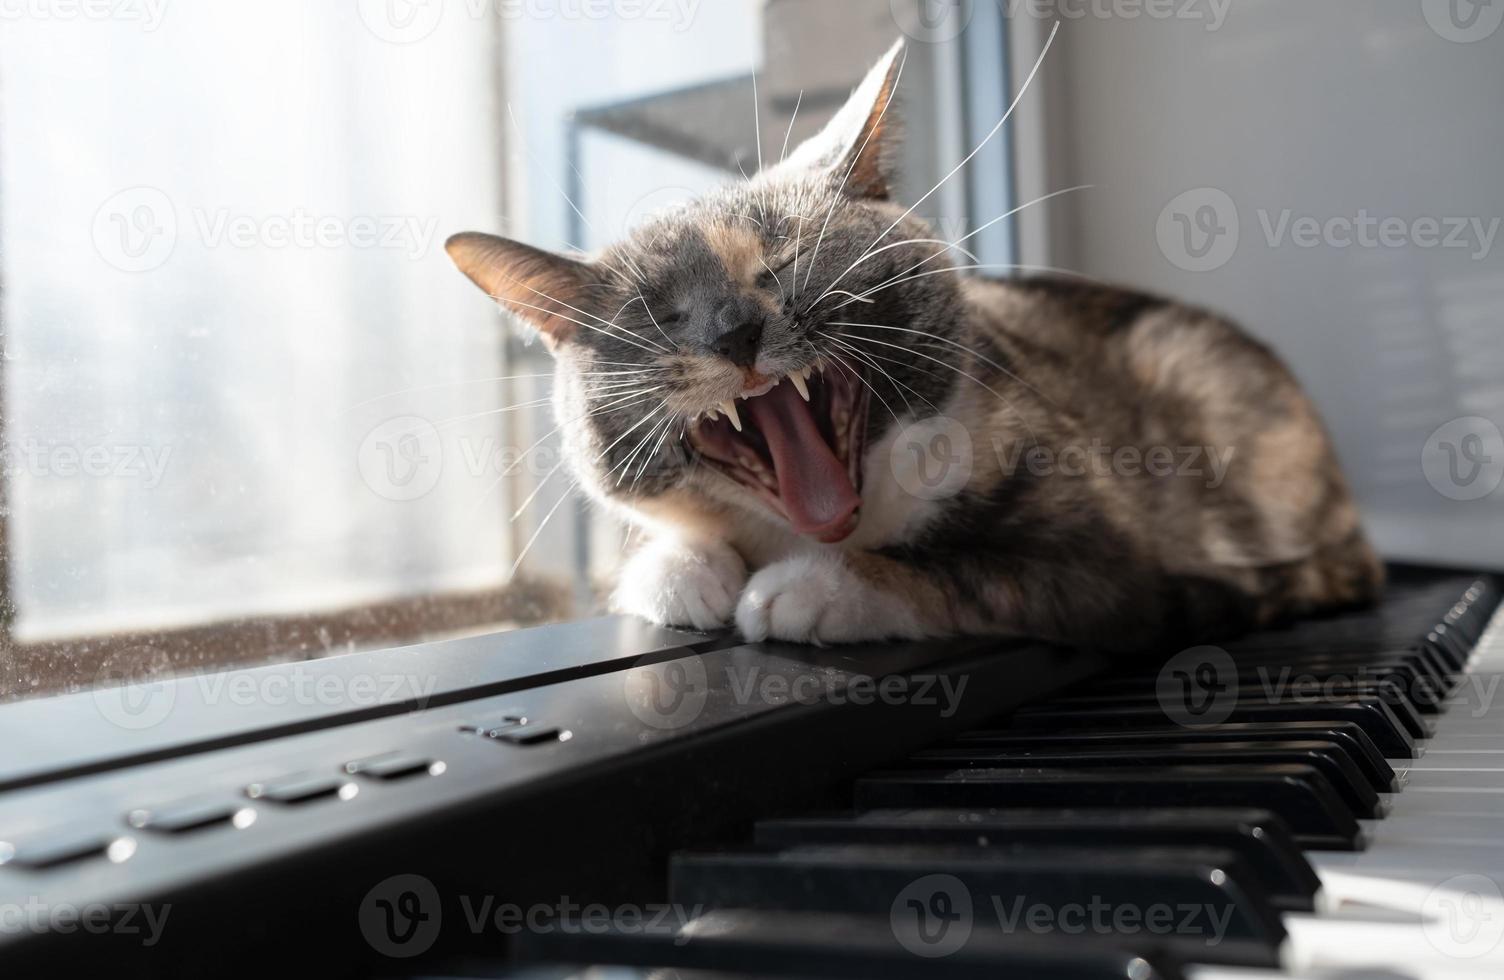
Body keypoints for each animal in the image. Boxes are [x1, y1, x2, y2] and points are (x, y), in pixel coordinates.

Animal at [439, 42, 1377, 649]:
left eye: (784, 260)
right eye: (661, 313)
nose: (736, 330)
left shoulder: (1104, 552)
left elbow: (971, 573)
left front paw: (815, 591)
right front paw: (683, 571)